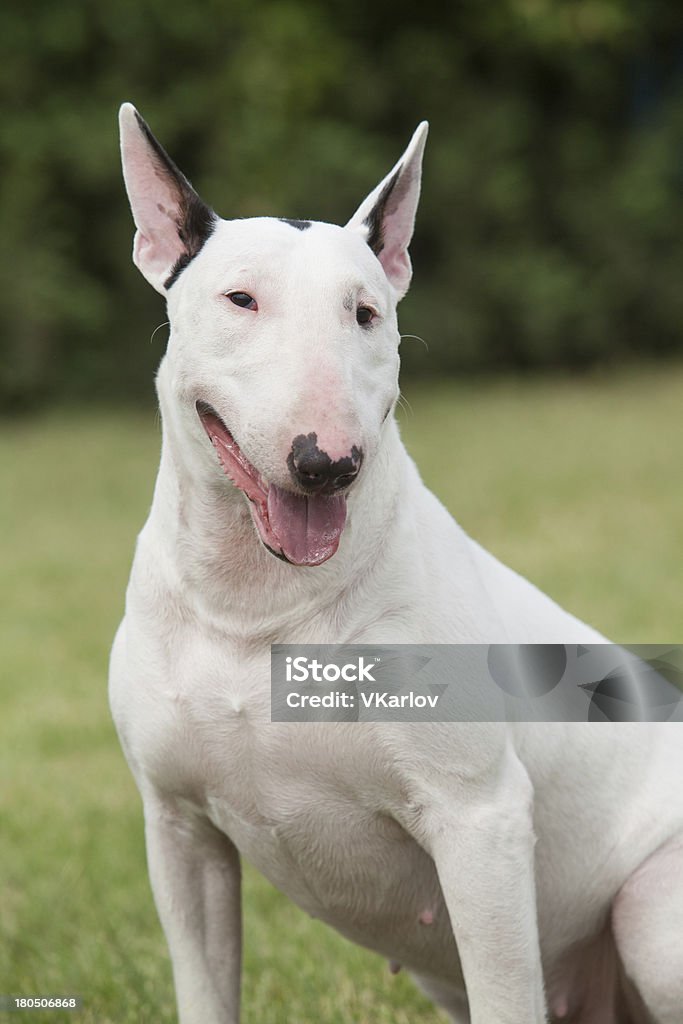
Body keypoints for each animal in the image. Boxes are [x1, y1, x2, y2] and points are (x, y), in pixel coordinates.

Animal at [112, 105, 683, 1024]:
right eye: (240, 298)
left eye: (366, 314)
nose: (328, 463)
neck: (257, 602)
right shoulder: (178, 830)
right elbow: (203, 984)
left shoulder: (479, 821)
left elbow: (505, 992)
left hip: (651, 914)